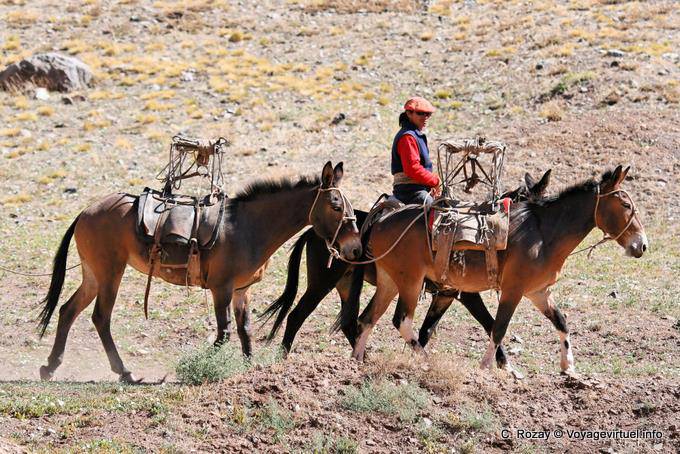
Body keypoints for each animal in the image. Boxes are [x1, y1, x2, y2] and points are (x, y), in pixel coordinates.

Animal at [37, 162, 362, 383]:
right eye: (336, 206)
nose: (356, 248)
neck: (248, 227)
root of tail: (86, 211)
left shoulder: (242, 291)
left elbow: (244, 330)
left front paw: (249, 369)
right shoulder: (222, 288)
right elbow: (224, 332)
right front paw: (198, 366)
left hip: (93, 275)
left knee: (68, 310)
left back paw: (50, 366)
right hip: (109, 273)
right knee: (100, 318)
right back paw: (124, 371)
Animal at [260, 170, 552, 368]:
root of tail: (312, 231)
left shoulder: (445, 295)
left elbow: (426, 330)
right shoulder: (467, 295)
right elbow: (490, 323)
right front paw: (505, 364)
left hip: (345, 284)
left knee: (349, 322)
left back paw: (362, 357)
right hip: (322, 282)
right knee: (297, 316)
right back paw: (285, 357)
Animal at [341, 166, 647, 376]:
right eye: (625, 204)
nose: (642, 245)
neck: (543, 233)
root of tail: (384, 218)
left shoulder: (537, 291)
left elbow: (561, 321)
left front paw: (568, 366)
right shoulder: (511, 290)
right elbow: (497, 327)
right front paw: (490, 366)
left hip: (389, 281)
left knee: (368, 318)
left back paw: (357, 359)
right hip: (410, 282)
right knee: (401, 320)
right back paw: (426, 362)